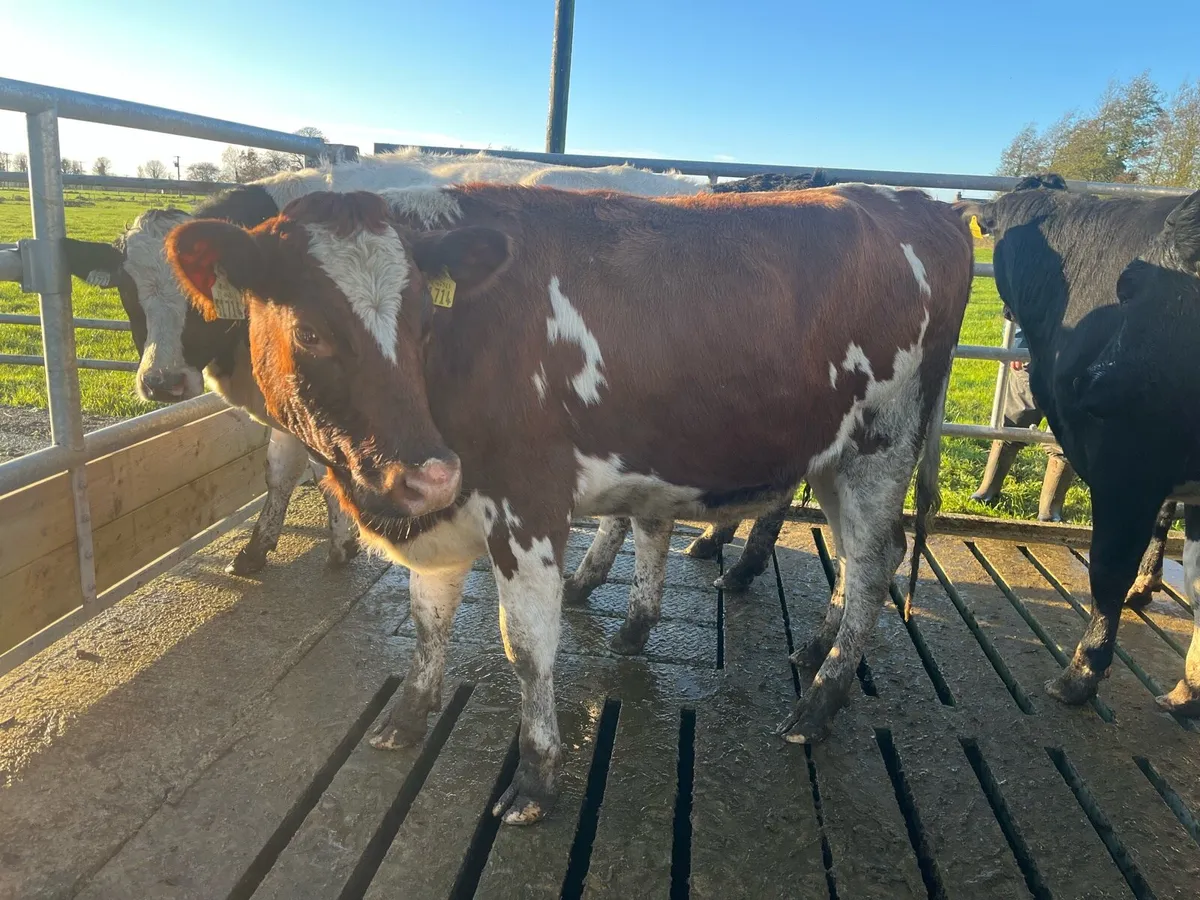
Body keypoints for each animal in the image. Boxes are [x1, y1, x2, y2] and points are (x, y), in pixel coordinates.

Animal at [163, 183, 973, 824]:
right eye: (310, 331)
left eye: (424, 320)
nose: (428, 471)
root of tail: (920, 203)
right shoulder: (441, 517)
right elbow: (428, 623)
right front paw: (408, 715)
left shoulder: (528, 505)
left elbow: (526, 649)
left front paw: (537, 777)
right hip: (834, 459)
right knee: (858, 559)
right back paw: (816, 647)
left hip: (880, 447)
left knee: (875, 559)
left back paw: (820, 702)